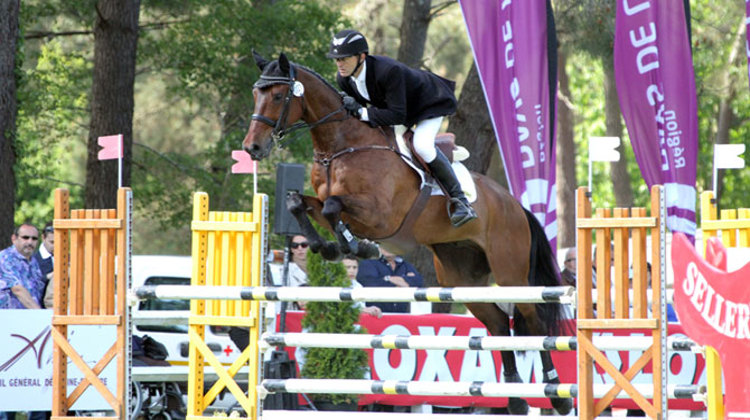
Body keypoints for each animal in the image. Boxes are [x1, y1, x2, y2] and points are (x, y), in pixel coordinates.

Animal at [244, 51, 572, 414]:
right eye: (256, 93)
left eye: (277, 95)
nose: (252, 148)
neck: (342, 146)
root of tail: (515, 205)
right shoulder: (332, 203)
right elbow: (297, 203)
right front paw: (329, 247)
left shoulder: (380, 215)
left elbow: (331, 207)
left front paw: (358, 247)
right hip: (462, 279)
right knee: (500, 324)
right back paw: (514, 398)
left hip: (511, 271)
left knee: (535, 322)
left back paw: (557, 395)